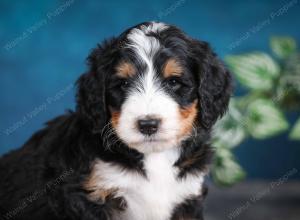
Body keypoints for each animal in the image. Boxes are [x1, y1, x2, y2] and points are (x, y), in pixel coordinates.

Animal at [0, 21, 232, 220]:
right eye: (123, 84)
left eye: (174, 82)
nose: (148, 125)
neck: (154, 158)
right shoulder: (92, 196)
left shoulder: (187, 197)